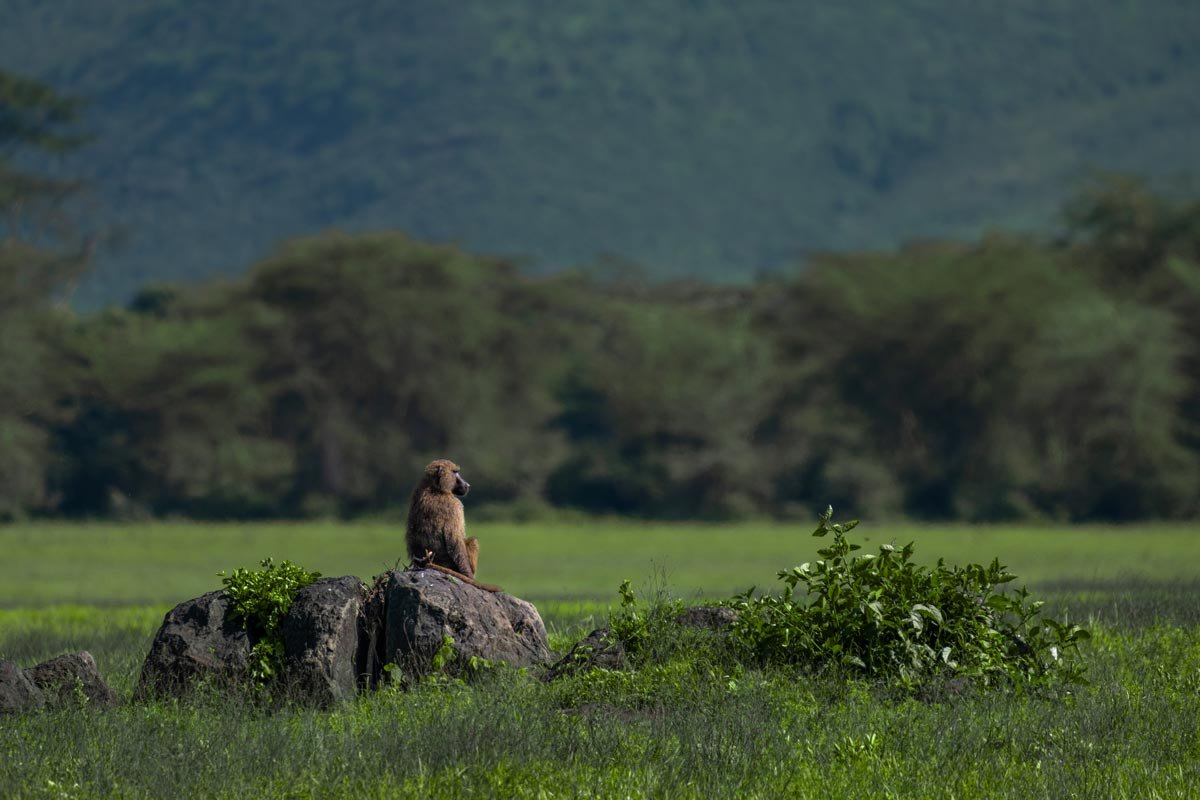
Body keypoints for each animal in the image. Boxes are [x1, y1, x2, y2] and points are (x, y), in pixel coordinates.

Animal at [405, 459, 503, 593]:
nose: (467, 485)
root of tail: (426, 562)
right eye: (455, 472)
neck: (433, 487)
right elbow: (455, 541)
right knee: (473, 541)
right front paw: (469, 576)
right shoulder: (455, 505)